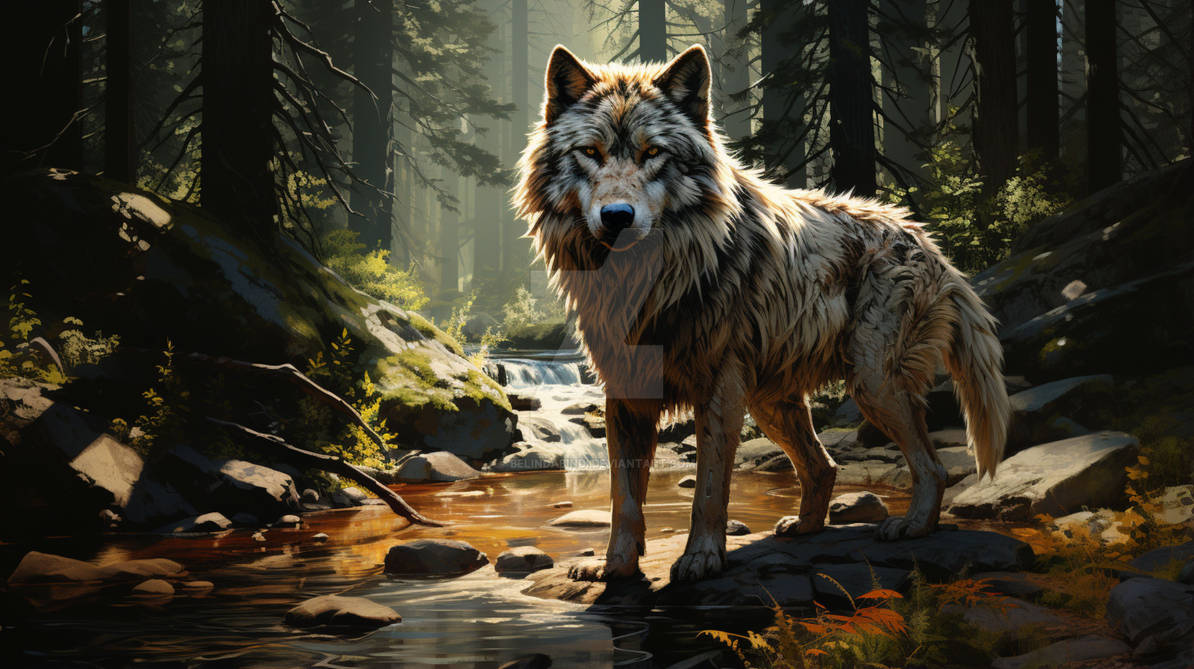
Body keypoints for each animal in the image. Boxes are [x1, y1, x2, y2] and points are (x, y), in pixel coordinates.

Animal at [513, 44, 1010, 583]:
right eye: (591, 152)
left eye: (652, 153)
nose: (617, 217)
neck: (645, 281)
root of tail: (927, 243)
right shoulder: (625, 392)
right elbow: (624, 497)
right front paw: (615, 568)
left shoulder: (718, 388)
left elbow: (709, 488)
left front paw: (701, 558)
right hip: (773, 403)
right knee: (824, 467)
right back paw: (806, 527)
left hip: (871, 383)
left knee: (931, 466)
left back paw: (912, 527)